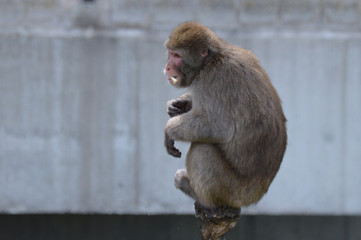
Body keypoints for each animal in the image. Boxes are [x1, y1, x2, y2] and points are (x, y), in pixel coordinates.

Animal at [164, 22, 286, 210]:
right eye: (170, 53)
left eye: (177, 55)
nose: (167, 67)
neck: (210, 61)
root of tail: (257, 195)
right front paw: (179, 103)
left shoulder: (214, 79)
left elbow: (219, 127)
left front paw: (169, 130)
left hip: (232, 192)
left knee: (202, 149)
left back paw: (198, 195)